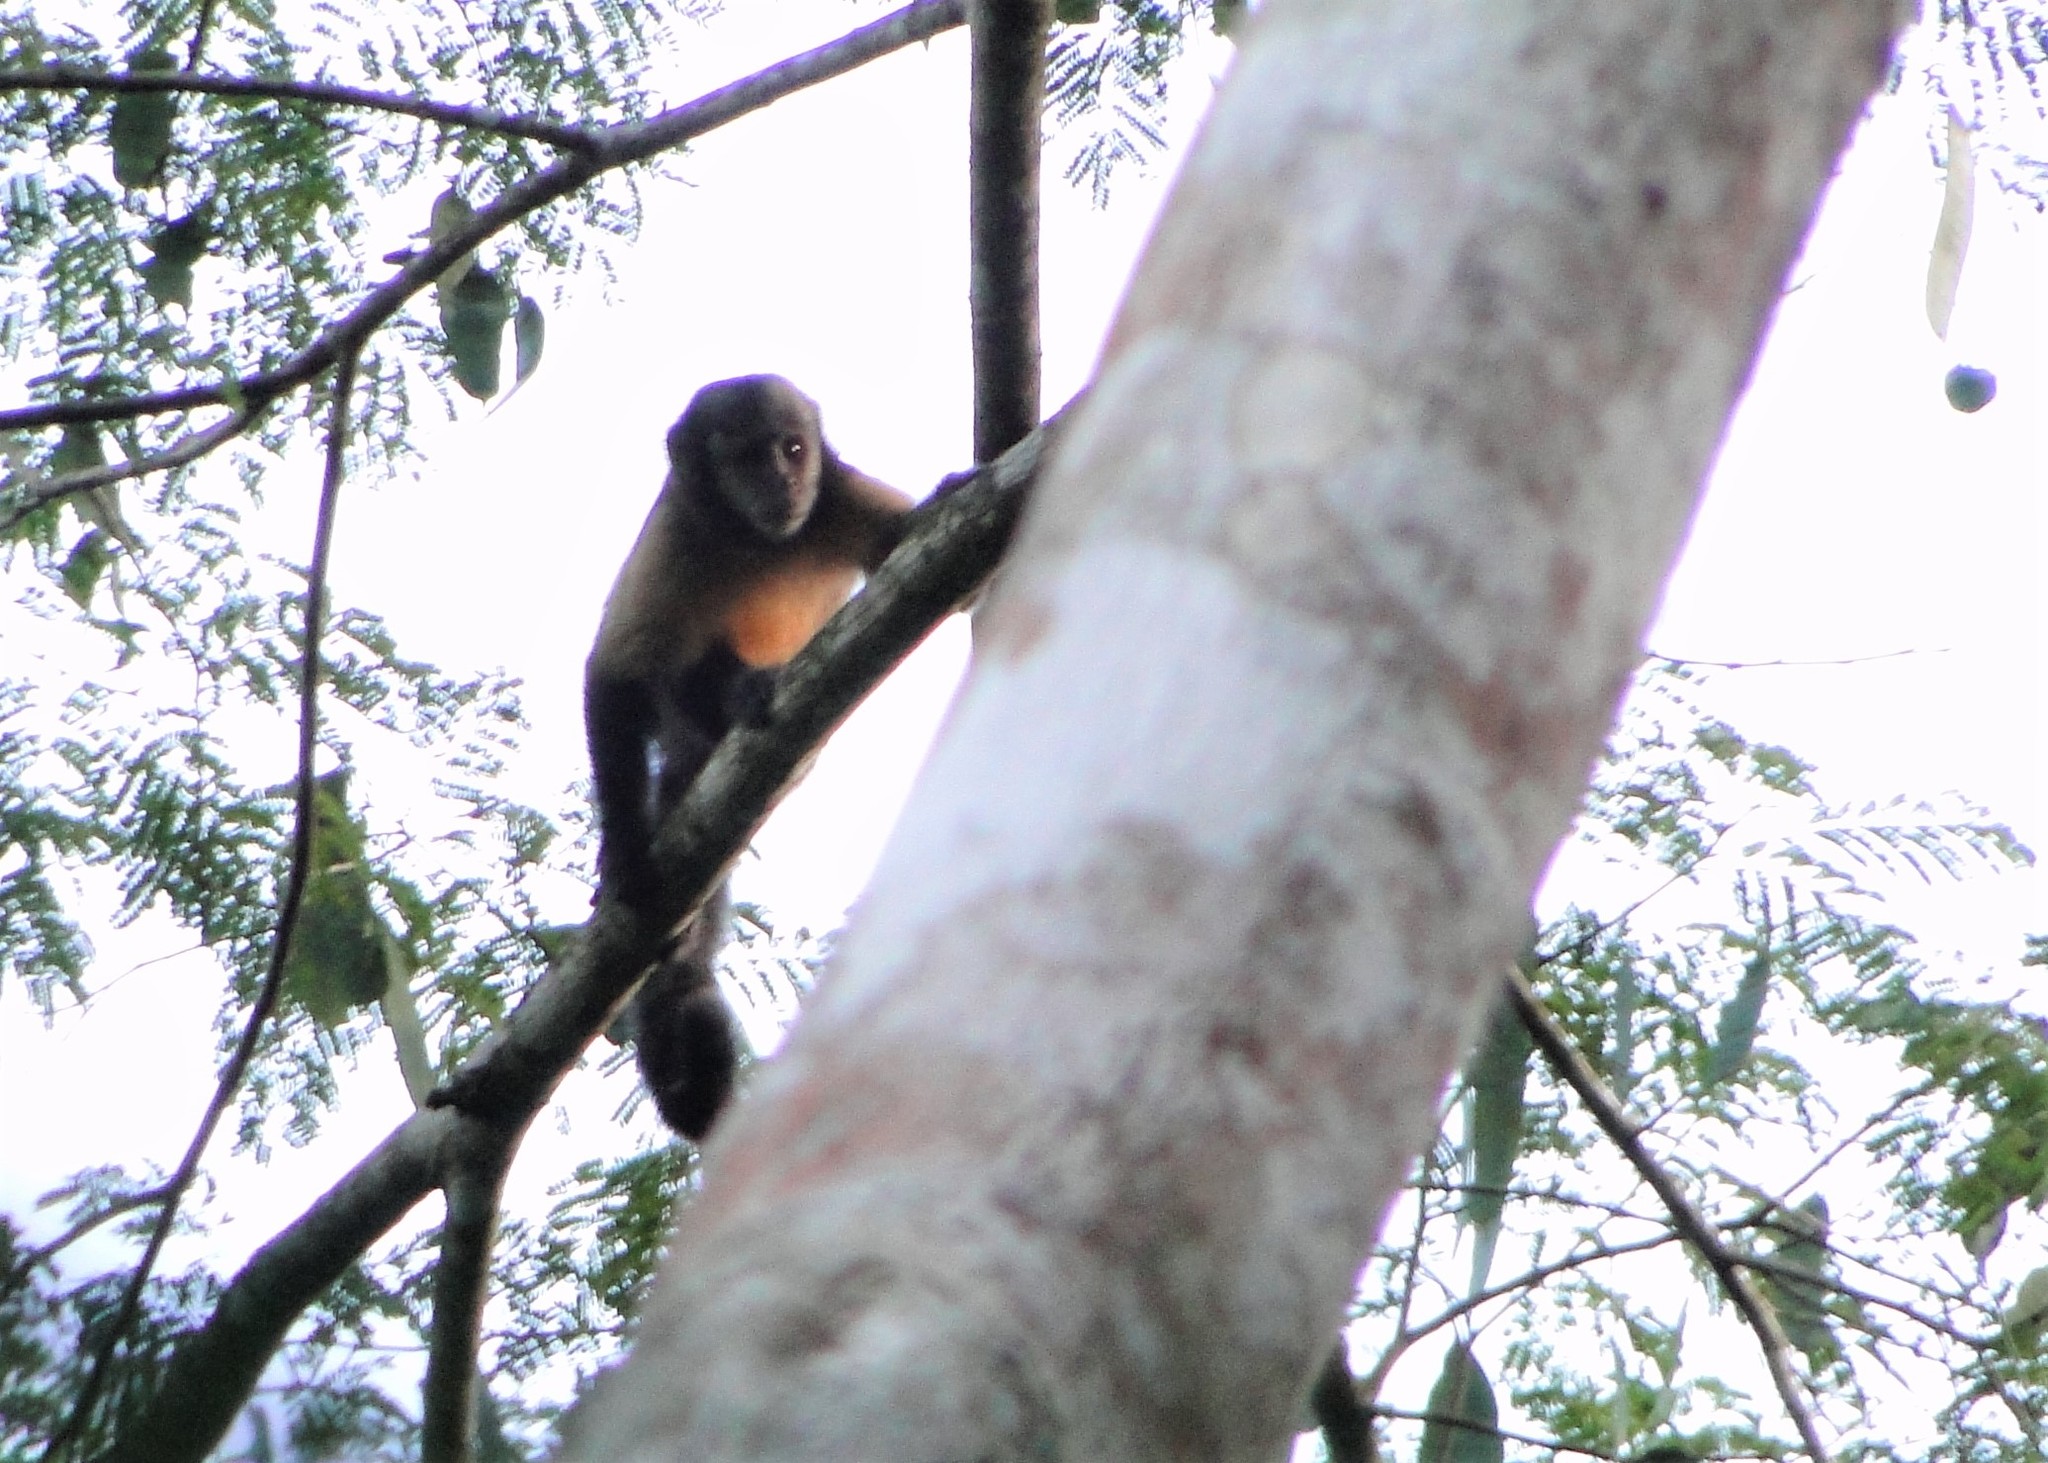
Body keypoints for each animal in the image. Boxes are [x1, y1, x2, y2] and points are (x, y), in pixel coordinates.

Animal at [589, 372, 917, 1131]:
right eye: (743, 456)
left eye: (792, 448)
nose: (782, 479)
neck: (750, 538)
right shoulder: (674, 536)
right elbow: (615, 681)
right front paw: (623, 855)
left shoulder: (837, 496)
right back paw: (736, 694)